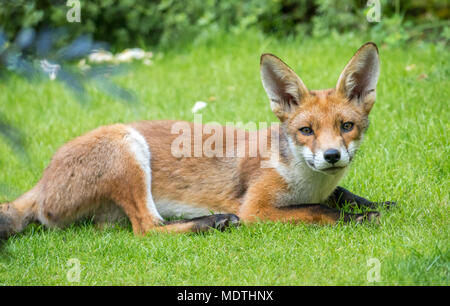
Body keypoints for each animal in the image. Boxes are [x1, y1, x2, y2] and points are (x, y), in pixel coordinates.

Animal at [0, 41, 394, 238]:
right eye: (306, 131)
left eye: (346, 126)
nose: (331, 156)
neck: (306, 181)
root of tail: (41, 182)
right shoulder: (256, 209)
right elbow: (321, 211)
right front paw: (360, 218)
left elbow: (343, 195)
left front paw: (378, 204)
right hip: (126, 147)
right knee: (147, 229)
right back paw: (212, 222)